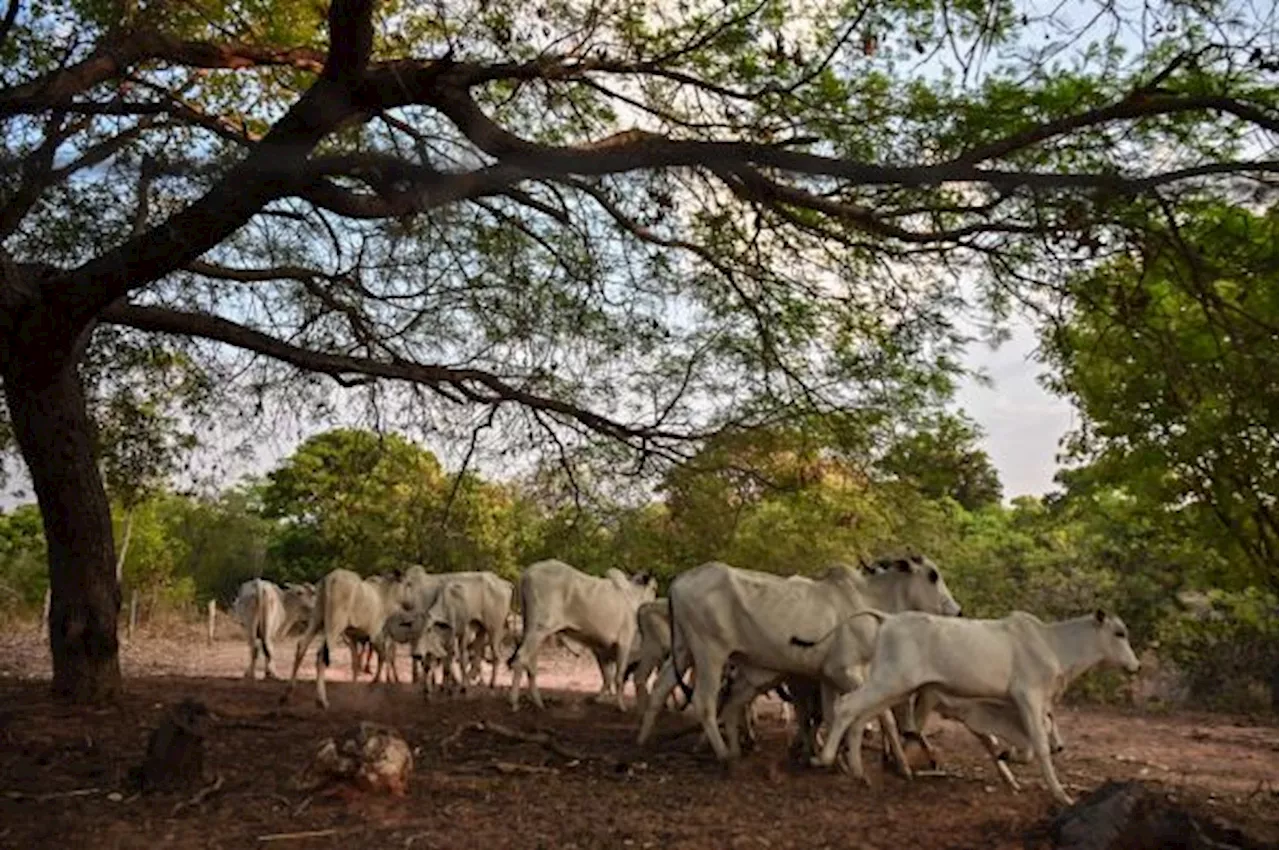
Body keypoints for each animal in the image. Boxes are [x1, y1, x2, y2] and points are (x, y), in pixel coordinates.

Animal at [282, 570, 412, 711]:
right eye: (407, 584)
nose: (409, 605)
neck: (384, 596)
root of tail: (330, 578)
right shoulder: (375, 634)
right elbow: (383, 656)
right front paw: (375, 683)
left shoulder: (353, 637)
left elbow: (356, 663)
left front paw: (354, 690)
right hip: (335, 624)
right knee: (321, 655)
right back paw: (321, 700)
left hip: (316, 618)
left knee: (302, 646)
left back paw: (288, 693)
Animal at [504, 558, 655, 711]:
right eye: (654, 588)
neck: (632, 596)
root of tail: (527, 573)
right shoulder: (624, 643)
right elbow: (618, 675)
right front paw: (621, 705)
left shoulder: (601, 649)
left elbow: (607, 676)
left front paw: (599, 699)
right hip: (540, 629)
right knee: (520, 659)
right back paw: (514, 702)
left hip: (532, 629)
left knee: (530, 664)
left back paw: (538, 702)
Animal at [637, 558, 962, 762]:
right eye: (933, 575)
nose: (957, 610)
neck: (868, 601)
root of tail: (680, 581)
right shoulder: (844, 671)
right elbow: (881, 716)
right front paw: (899, 763)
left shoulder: (826, 678)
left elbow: (828, 715)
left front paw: (828, 756)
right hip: (710, 653)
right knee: (705, 701)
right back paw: (724, 754)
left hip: (683, 649)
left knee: (661, 688)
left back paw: (644, 741)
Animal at [808, 606, 1141, 798]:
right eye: (1119, 633)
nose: (1136, 666)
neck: (1054, 643)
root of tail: (888, 619)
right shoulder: (1028, 696)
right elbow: (1039, 744)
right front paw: (1061, 794)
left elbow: (1023, 744)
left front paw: (1009, 756)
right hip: (889, 681)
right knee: (847, 706)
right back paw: (825, 758)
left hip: (896, 688)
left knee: (864, 717)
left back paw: (859, 772)